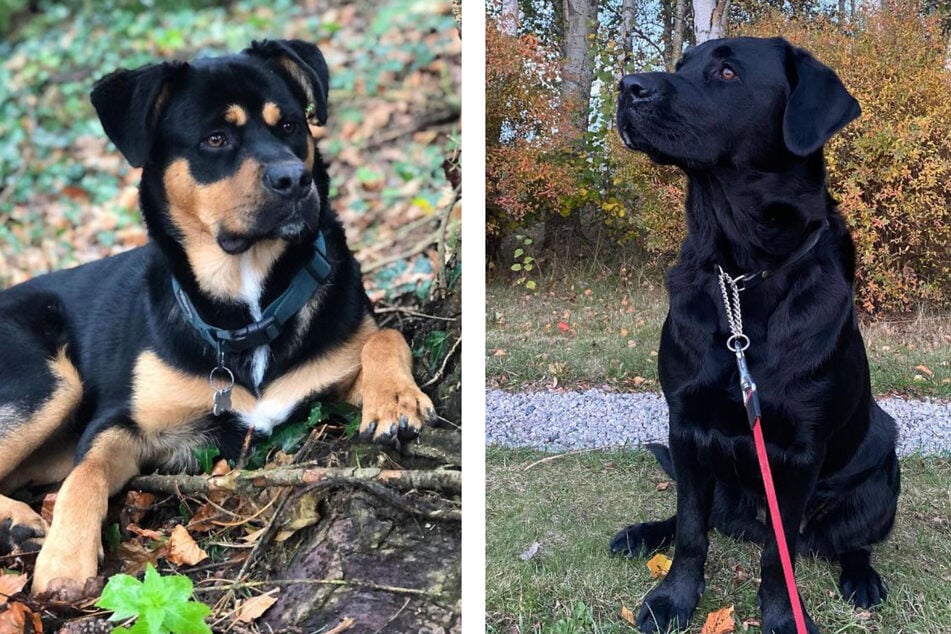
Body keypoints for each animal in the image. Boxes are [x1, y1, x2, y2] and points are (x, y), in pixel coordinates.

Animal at [0, 39, 436, 596]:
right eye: (215, 138)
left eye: (289, 125)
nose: (295, 179)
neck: (246, 302)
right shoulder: (121, 423)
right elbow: (87, 473)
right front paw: (65, 559)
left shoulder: (332, 372)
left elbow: (386, 337)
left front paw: (395, 400)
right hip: (49, 382)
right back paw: (18, 521)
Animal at [616, 35, 900, 632]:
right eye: (681, 65)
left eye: (727, 72)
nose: (628, 87)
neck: (743, 270)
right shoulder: (685, 424)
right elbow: (691, 531)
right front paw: (672, 599)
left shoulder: (798, 452)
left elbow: (779, 553)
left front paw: (783, 616)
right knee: (696, 518)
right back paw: (643, 533)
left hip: (884, 471)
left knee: (850, 540)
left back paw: (862, 577)